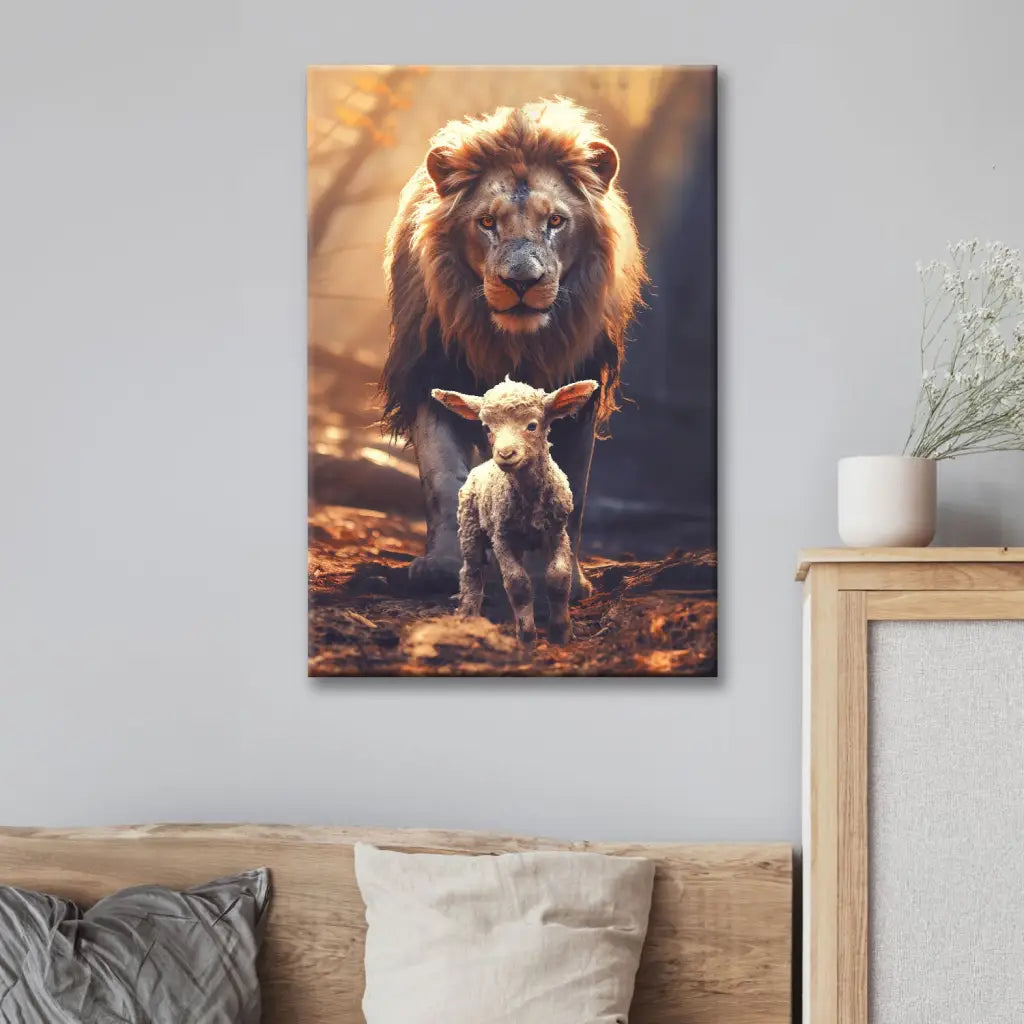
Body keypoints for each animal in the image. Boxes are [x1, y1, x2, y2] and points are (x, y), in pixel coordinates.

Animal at [379, 97, 646, 597]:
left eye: (555, 221)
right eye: (487, 222)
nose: (521, 282)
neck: (515, 345)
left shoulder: (578, 389)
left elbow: (572, 489)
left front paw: (564, 578)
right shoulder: (431, 374)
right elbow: (444, 480)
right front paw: (442, 566)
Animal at [431, 377, 599, 646]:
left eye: (532, 425)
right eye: (487, 428)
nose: (506, 454)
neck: (529, 498)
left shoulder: (557, 532)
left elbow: (559, 578)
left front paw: (561, 631)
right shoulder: (503, 538)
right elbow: (518, 584)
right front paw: (527, 635)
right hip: (470, 525)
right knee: (472, 571)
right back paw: (467, 615)